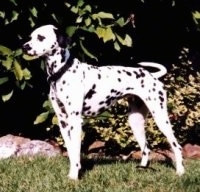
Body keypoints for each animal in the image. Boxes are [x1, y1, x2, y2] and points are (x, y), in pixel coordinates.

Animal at [23, 24, 184, 180]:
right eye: (30, 37)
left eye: (41, 37)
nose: (24, 47)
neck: (62, 72)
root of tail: (151, 75)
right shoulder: (63, 122)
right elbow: (71, 151)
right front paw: (73, 172)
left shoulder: (75, 121)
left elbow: (75, 151)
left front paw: (74, 176)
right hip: (135, 121)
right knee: (146, 148)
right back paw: (143, 169)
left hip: (161, 118)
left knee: (176, 146)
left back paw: (180, 171)